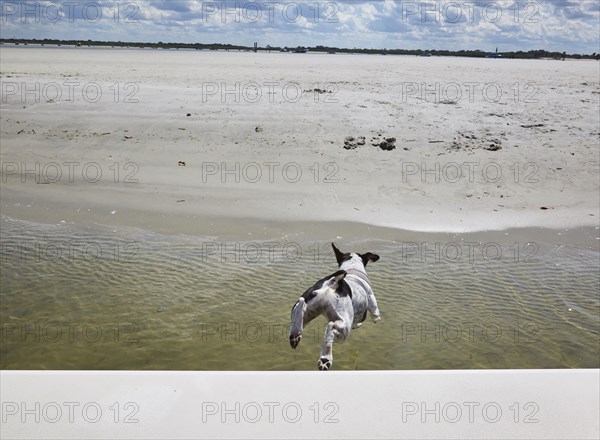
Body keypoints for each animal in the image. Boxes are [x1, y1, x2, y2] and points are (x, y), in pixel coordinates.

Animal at [290, 242, 382, 370]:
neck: (353, 269)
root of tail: (333, 283)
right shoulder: (371, 300)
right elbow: (375, 315)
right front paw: (365, 322)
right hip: (344, 329)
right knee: (331, 326)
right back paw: (325, 358)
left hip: (307, 310)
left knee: (300, 309)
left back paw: (296, 334)